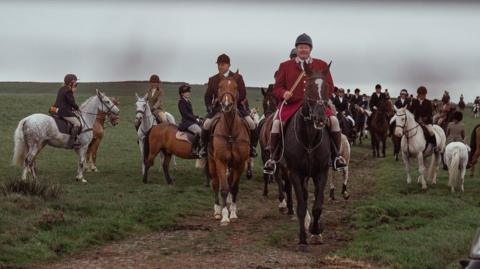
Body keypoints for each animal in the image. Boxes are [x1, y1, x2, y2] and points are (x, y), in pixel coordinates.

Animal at [208, 70, 249, 224]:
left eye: (236, 87)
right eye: (220, 86)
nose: (226, 104)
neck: (230, 131)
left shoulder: (240, 163)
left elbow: (234, 187)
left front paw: (233, 213)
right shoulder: (220, 161)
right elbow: (224, 188)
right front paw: (225, 216)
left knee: (230, 183)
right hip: (212, 163)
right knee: (215, 184)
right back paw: (217, 211)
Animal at [284, 61, 332, 248]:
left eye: (326, 87)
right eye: (308, 86)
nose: (320, 118)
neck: (310, 140)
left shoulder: (321, 173)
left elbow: (317, 207)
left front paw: (316, 230)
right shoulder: (295, 173)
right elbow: (302, 207)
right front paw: (303, 239)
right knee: (303, 199)